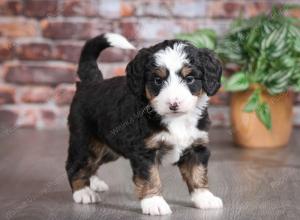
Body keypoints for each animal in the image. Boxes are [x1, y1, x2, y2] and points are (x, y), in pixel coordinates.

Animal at [65, 32, 223, 215]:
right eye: (157, 80)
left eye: (189, 78)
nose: (173, 104)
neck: (176, 119)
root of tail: (91, 82)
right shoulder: (144, 151)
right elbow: (150, 177)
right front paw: (154, 203)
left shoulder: (196, 146)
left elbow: (198, 173)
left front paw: (205, 198)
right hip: (85, 141)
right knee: (76, 165)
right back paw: (83, 192)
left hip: (108, 148)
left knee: (93, 164)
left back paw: (95, 183)